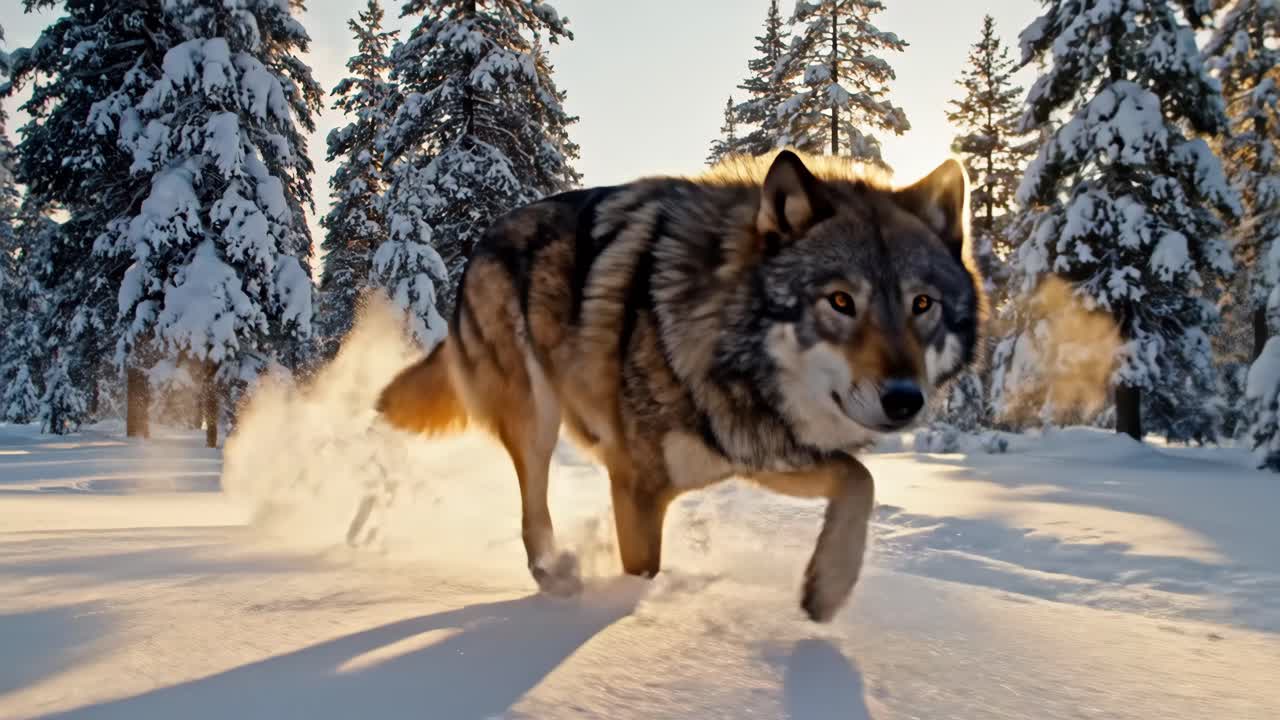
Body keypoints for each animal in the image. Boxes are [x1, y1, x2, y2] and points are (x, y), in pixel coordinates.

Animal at [376, 150, 983, 621]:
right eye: (840, 301)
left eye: (921, 304)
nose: (905, 399)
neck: (719, 341)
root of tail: (483, 239)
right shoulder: (639, 485)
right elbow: (642, 572)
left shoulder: (754, 448)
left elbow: (860, 480)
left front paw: (826, 590)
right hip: (535, 420)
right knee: (532, 514)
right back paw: (558, 578)